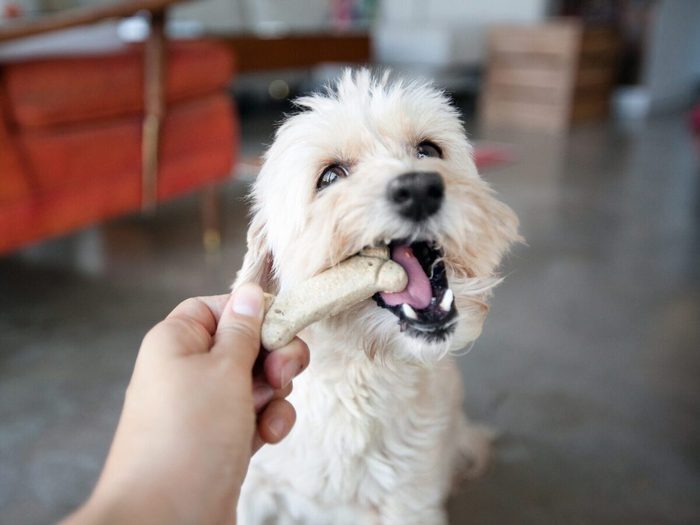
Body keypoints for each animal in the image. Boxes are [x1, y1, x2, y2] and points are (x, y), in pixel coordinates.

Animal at [232, 70, 516, 524]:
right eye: (330, 177)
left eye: (428, 150)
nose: (419, 188)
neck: (360, 377)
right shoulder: (253, 492)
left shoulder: (410, 503)